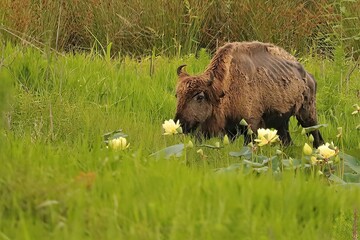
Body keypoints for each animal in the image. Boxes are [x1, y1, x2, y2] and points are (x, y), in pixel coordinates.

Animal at [174, 40, 324, 148]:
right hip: (282, 123)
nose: (179, 123)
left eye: (199, 97)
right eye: (177, 96)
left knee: (316, 137)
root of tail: (308, 76)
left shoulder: (251, 126)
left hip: (308, 115)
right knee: (288, 141)